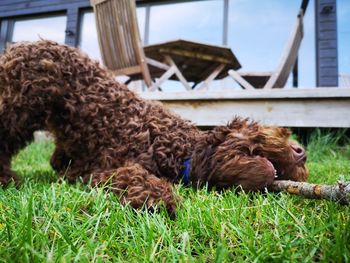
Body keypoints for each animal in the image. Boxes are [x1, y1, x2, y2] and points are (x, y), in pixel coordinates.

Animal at [0, 40, 306, 216]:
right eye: (265, 131)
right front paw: (158, 198)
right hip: (21, 103)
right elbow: (133, 176)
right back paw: (6, 178)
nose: (301, 152)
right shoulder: (109, 167)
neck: (177, 145)